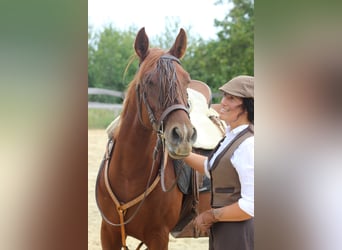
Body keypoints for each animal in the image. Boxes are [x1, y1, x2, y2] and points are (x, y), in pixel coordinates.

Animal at [96, 27, 198, 250]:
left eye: (187, 81)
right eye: (149, 82)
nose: (184, 135)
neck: (129, 175)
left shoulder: (158, 236)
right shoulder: (108, 233)